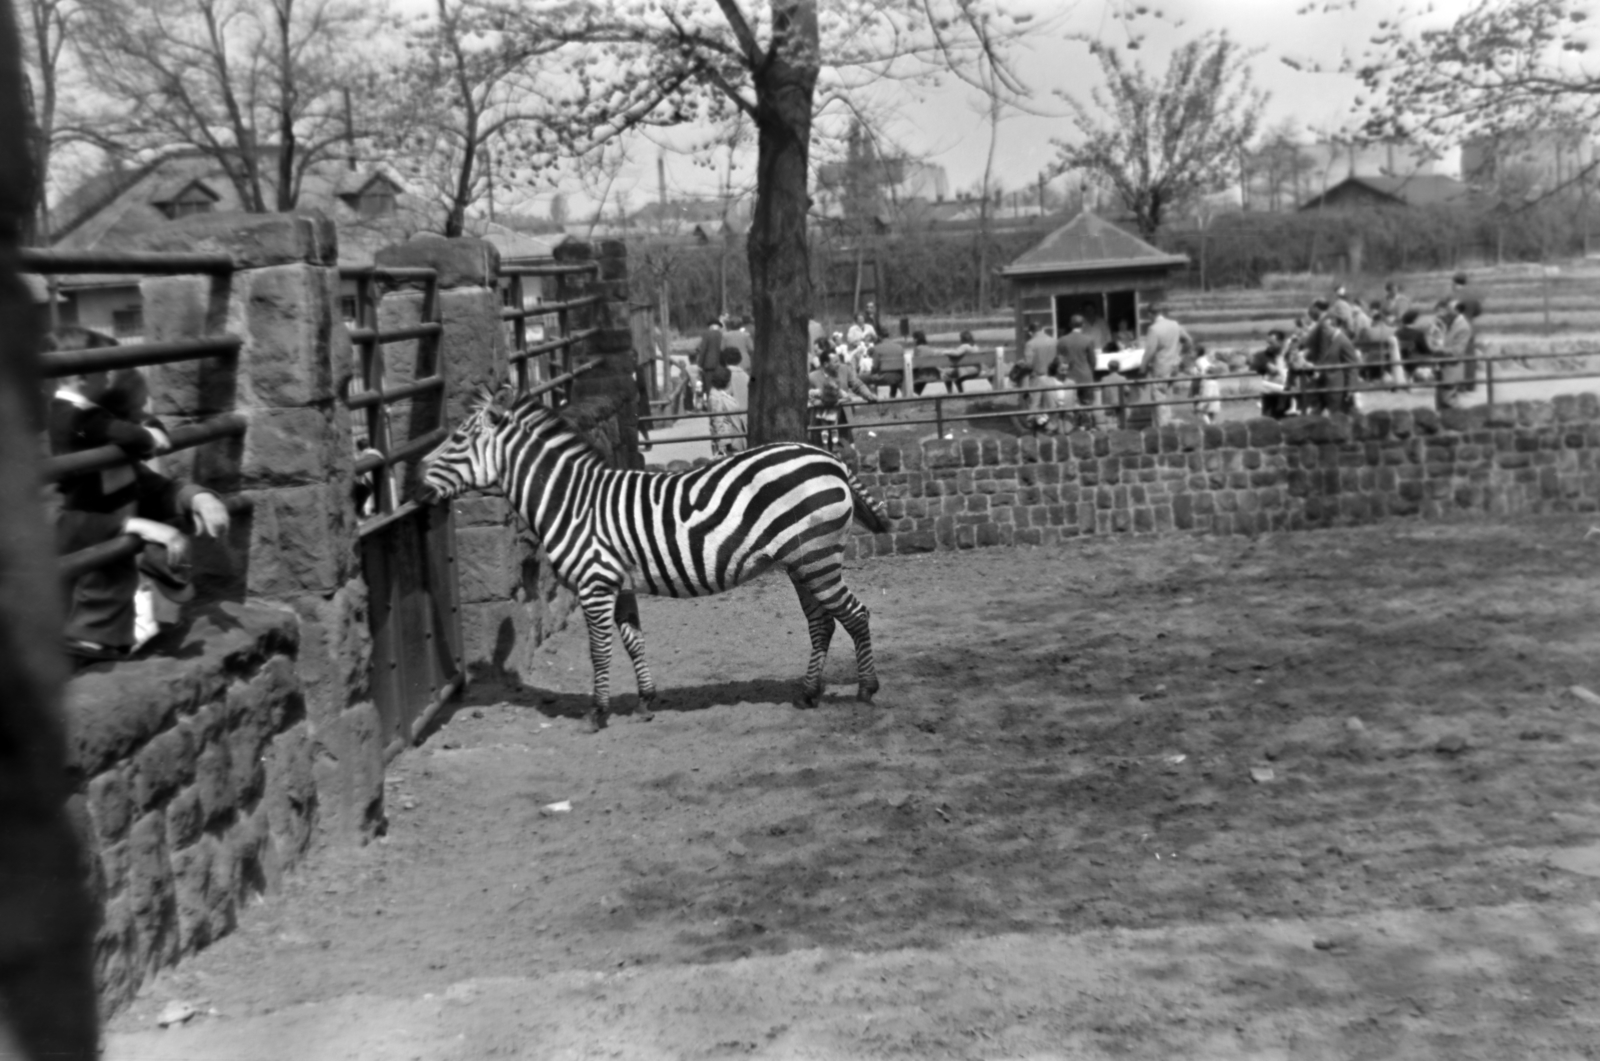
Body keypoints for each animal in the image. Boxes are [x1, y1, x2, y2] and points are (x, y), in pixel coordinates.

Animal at [419, 388, 896, 729]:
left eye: (458, 439)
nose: (415, 482)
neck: (571, 502)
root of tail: (830, 457)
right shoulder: (619, 582)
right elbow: (633, 640)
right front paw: (646, 701)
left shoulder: (594, 582)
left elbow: (599, 649)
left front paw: (598, 712)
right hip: (803, 561)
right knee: (823, 624)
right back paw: (809, 693)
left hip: (816, 557)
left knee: (856, 614)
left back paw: (867, 689)